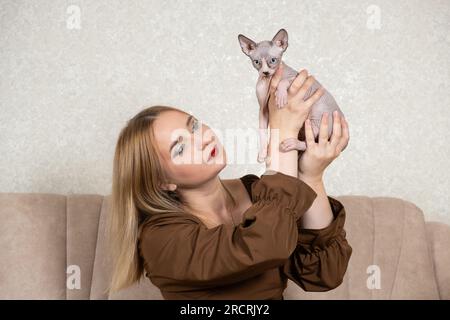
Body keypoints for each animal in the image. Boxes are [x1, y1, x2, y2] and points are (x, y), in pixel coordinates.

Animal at [237, 28, 346, 165]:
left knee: (310, 143)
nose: (265, 72)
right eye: (256, 62)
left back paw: (292, 144)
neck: (269, 81)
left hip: (317, 115)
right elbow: (262, 133)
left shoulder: (297, 77)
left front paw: (281, 96)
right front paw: (262, 153)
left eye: (273, 60)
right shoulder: (263, 109)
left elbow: (284, 81)